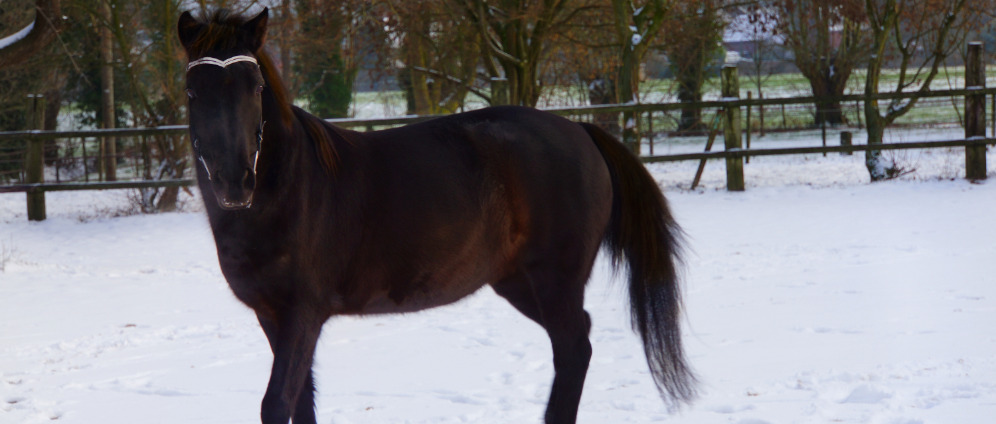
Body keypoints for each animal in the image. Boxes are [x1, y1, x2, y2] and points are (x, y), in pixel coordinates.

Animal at [177, 8, 694, 424]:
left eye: (256, 87)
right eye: (192, 92)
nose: (234, 182)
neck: (289, 188)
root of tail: (582, 131)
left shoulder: (302, 314)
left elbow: (277, 404)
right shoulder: (273, 316)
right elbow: (300, 403)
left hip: (554, 281)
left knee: (573, 350)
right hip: (518, 283)